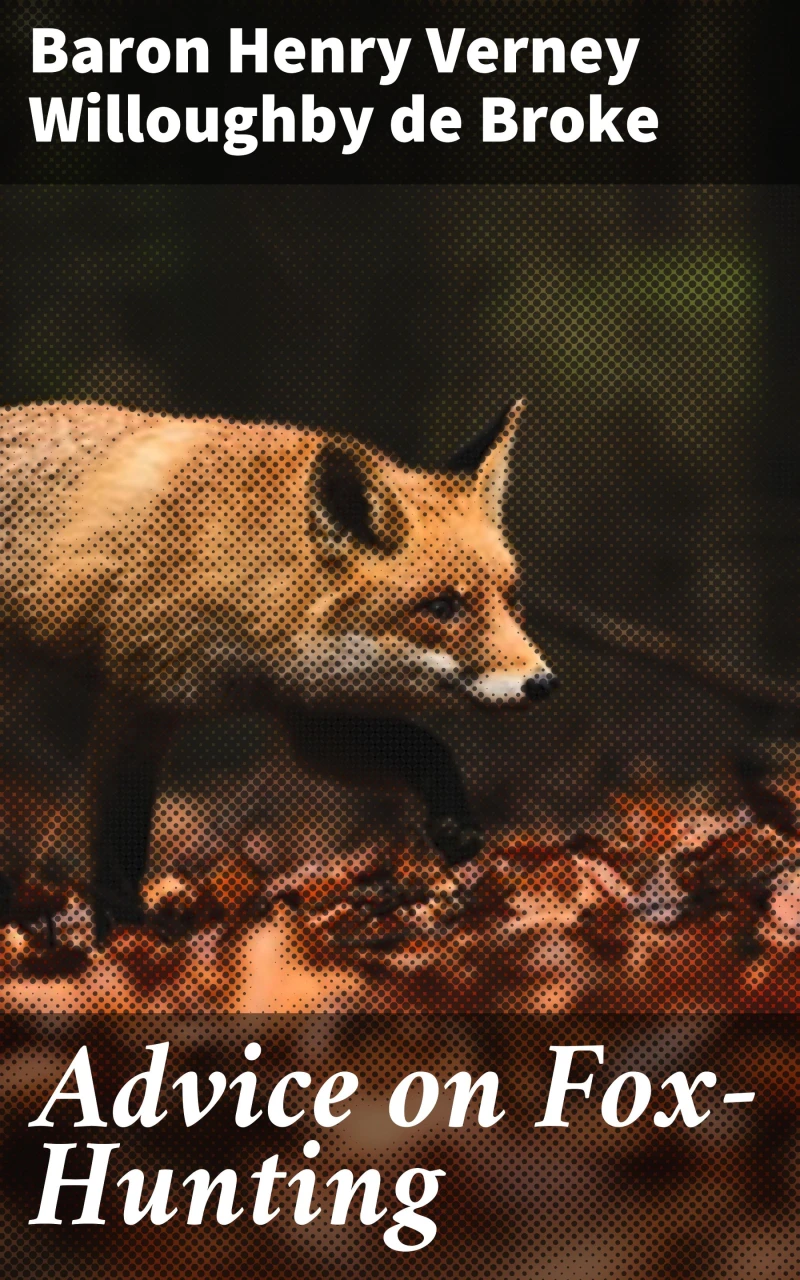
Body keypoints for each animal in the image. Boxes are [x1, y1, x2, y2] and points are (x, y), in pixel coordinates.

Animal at [0, 398, 556, 940]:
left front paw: (453, 821)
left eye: (511, 599)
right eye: (441, 607)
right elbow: (119, 846)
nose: (543, 682)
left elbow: (426, 746)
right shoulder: (132, 700)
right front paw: (120, 941)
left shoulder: (305, 707)